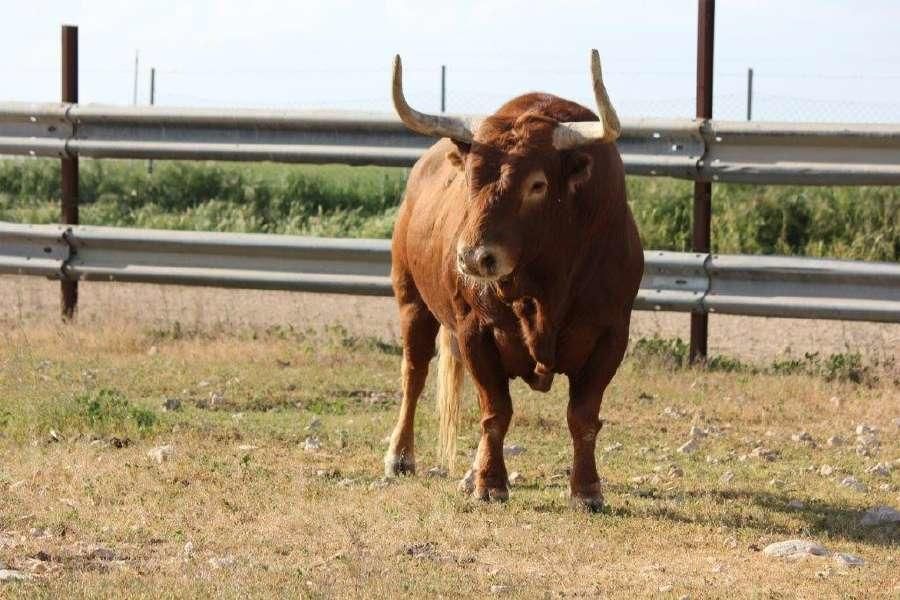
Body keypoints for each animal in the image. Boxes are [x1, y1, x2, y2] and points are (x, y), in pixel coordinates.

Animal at [384, 51, 644, 510]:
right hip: (411, 298)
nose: (473, 257)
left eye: (537, 184)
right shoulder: (475, 331)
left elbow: (583, 417)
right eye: (469, 179)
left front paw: (587, 490)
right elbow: (496, 411)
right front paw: (490, 482)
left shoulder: (611, 336)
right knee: (413, 374)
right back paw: (400, 457)